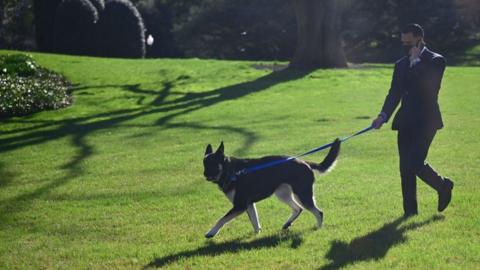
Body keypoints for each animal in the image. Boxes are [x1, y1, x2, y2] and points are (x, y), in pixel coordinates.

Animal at [202, 139, 342, 238]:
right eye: (204, 164)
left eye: (213, 164)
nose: (204, 174)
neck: (231, 171)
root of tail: (304, 162)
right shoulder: (249, 204)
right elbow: (255, 221)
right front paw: (256, 234)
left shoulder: (240, 205)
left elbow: (222, 219)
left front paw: (211, 232)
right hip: (282, 194)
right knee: (298, 209)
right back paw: (287, 224)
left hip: (302, 195)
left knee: (318, 212)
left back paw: (318, 227)